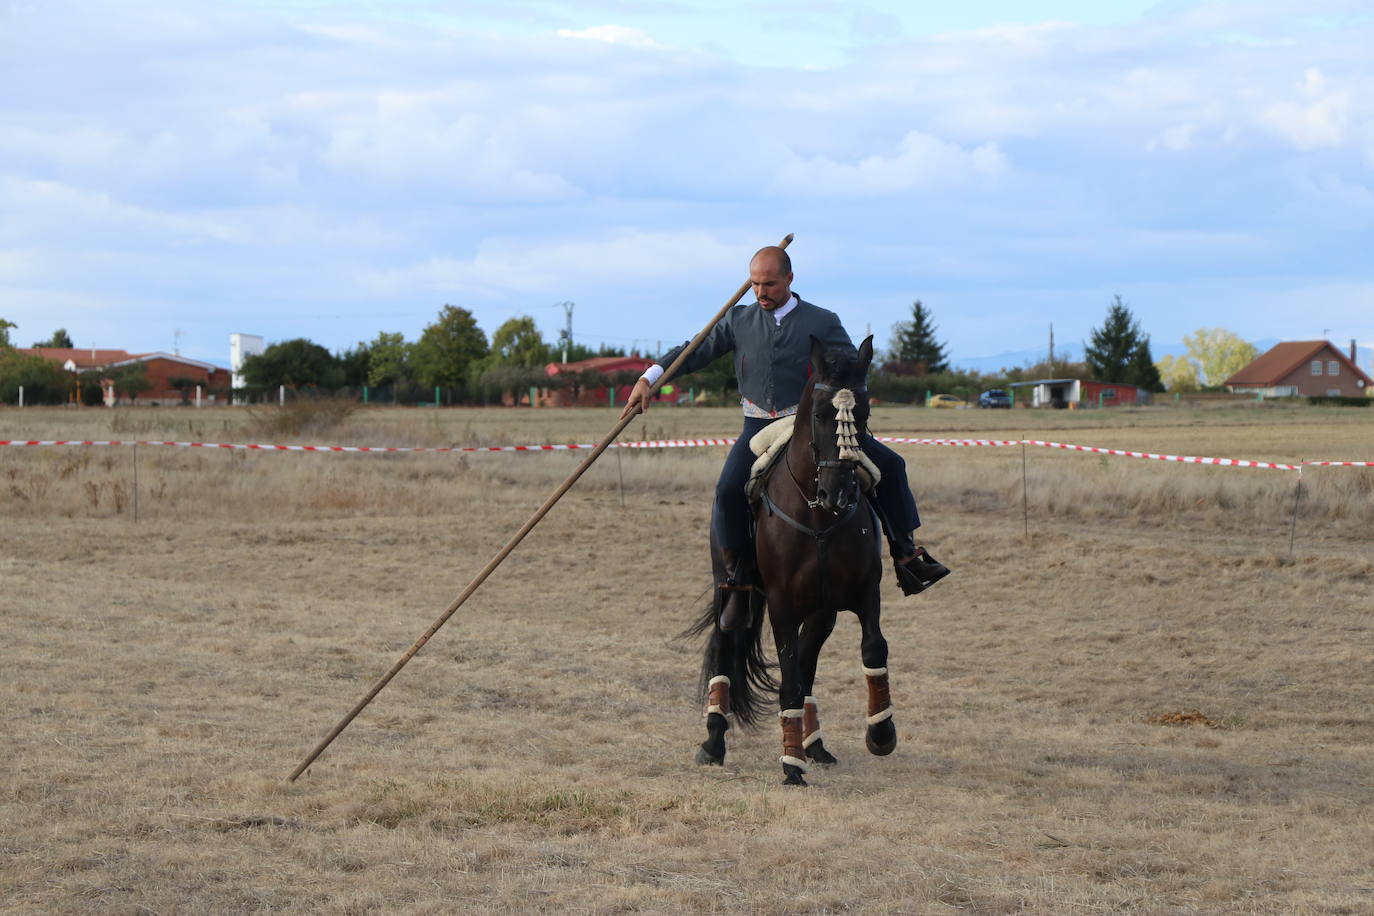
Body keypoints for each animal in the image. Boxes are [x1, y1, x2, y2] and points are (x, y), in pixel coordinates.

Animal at [687, 336, 890, 791]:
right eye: (819, 415)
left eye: (864, 415)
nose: (839, 494)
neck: (818, 520)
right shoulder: (781, 605)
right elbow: (790, 680)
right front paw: (791, 766)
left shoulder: (864, 593)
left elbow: (872, 649)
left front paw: (882, 733)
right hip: (731, 591)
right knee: (725, 645)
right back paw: (713, 741)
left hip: (821, 611)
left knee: (808, 661)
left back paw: (814, 744)